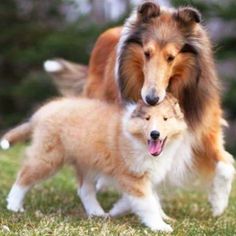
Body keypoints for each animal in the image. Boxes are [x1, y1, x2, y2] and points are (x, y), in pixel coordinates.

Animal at [1, 95, 186, 231]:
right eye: (147, 118)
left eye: (165, 119)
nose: (155, 134)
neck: (140, 141)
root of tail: (41, 113)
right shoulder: (132, 175)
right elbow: (147, 203)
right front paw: (160, 226)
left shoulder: (144, 176)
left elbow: (150, 198)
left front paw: (118, 210)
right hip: (48, 157)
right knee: (24, 176)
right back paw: (14, 205)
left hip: (87, 162)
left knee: (84, 190)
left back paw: (97, 213)